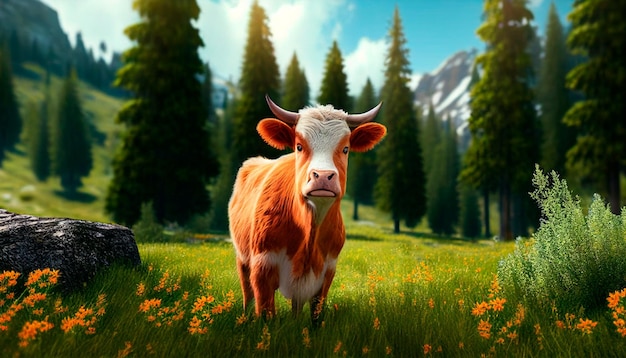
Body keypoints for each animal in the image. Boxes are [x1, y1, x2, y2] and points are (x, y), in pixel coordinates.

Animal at [229, 96, 386, 322]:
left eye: (346, 148)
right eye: (299, 146)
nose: (323, 176)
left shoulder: (327, 271)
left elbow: (315, 315)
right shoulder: (262, 265)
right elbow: (266, 314)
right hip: (243, 259)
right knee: (247, 296)